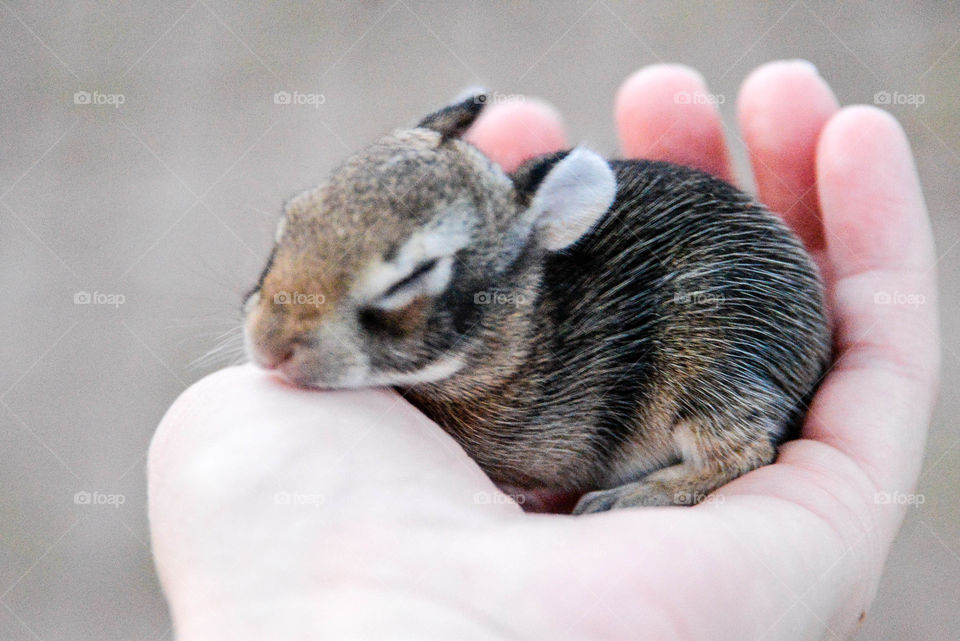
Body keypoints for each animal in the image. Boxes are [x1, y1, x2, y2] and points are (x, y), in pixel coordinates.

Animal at [244, 90, 828, 512]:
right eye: (292, 217)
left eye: (416, 275)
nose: (270, 346)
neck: (516, 346)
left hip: (712, 362)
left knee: (744, 451)